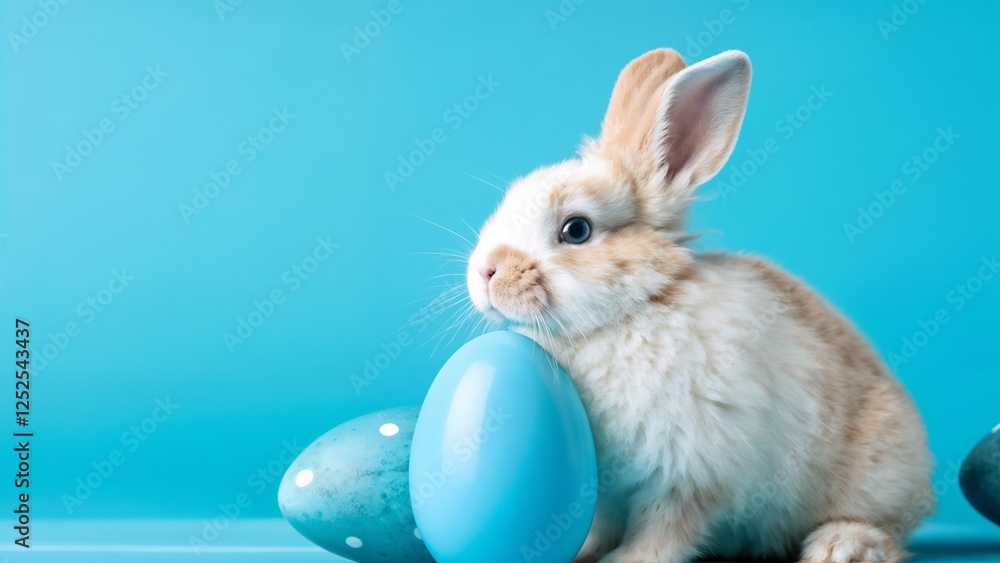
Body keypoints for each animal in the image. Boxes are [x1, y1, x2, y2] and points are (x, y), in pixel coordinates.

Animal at [464, 48, 934, 563]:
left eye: (576, 230)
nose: (485, 272)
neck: (629, 312)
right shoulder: (603, 486)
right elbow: (602, 522)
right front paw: (587, 549)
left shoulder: (688, 471)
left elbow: (666, 527)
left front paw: (628, 560)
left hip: (875, 477)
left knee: (883, 528)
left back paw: (841, 546)